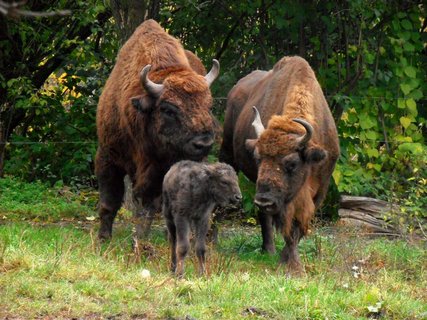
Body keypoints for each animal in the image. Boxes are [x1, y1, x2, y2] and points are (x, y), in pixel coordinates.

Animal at [96, 20, 221, 240]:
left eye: (209, 105)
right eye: (168, 109)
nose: (204, 143)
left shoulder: (158, 172)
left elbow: (148, 208)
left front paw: (140, 241)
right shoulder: (108, 156)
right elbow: (108, 203)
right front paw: (103, 239)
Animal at [219, 55, 340, 272]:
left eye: (292, 163)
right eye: (258, 158)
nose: (264, 200)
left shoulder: (318, 191)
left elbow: (298, 228)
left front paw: (290, 261)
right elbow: (288, 228)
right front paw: (291, 264)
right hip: (228, 153)